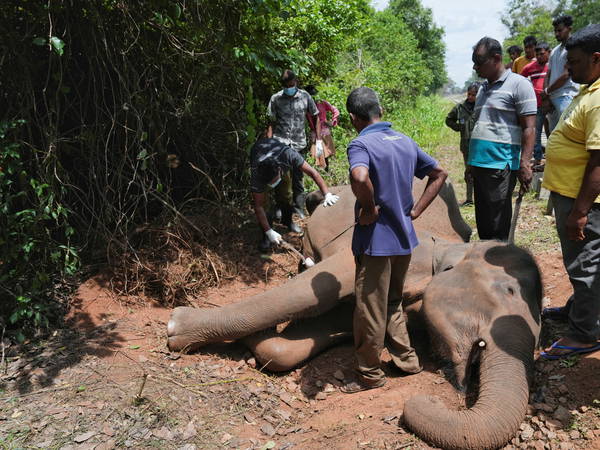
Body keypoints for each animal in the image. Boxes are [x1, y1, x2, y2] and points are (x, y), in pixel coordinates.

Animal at [166, 178, 540, 450]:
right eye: (507, 291)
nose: (430, 398)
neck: (448, 247)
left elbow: (324, 328)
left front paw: (258, 337)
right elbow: (315, 287)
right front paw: (176, 327)